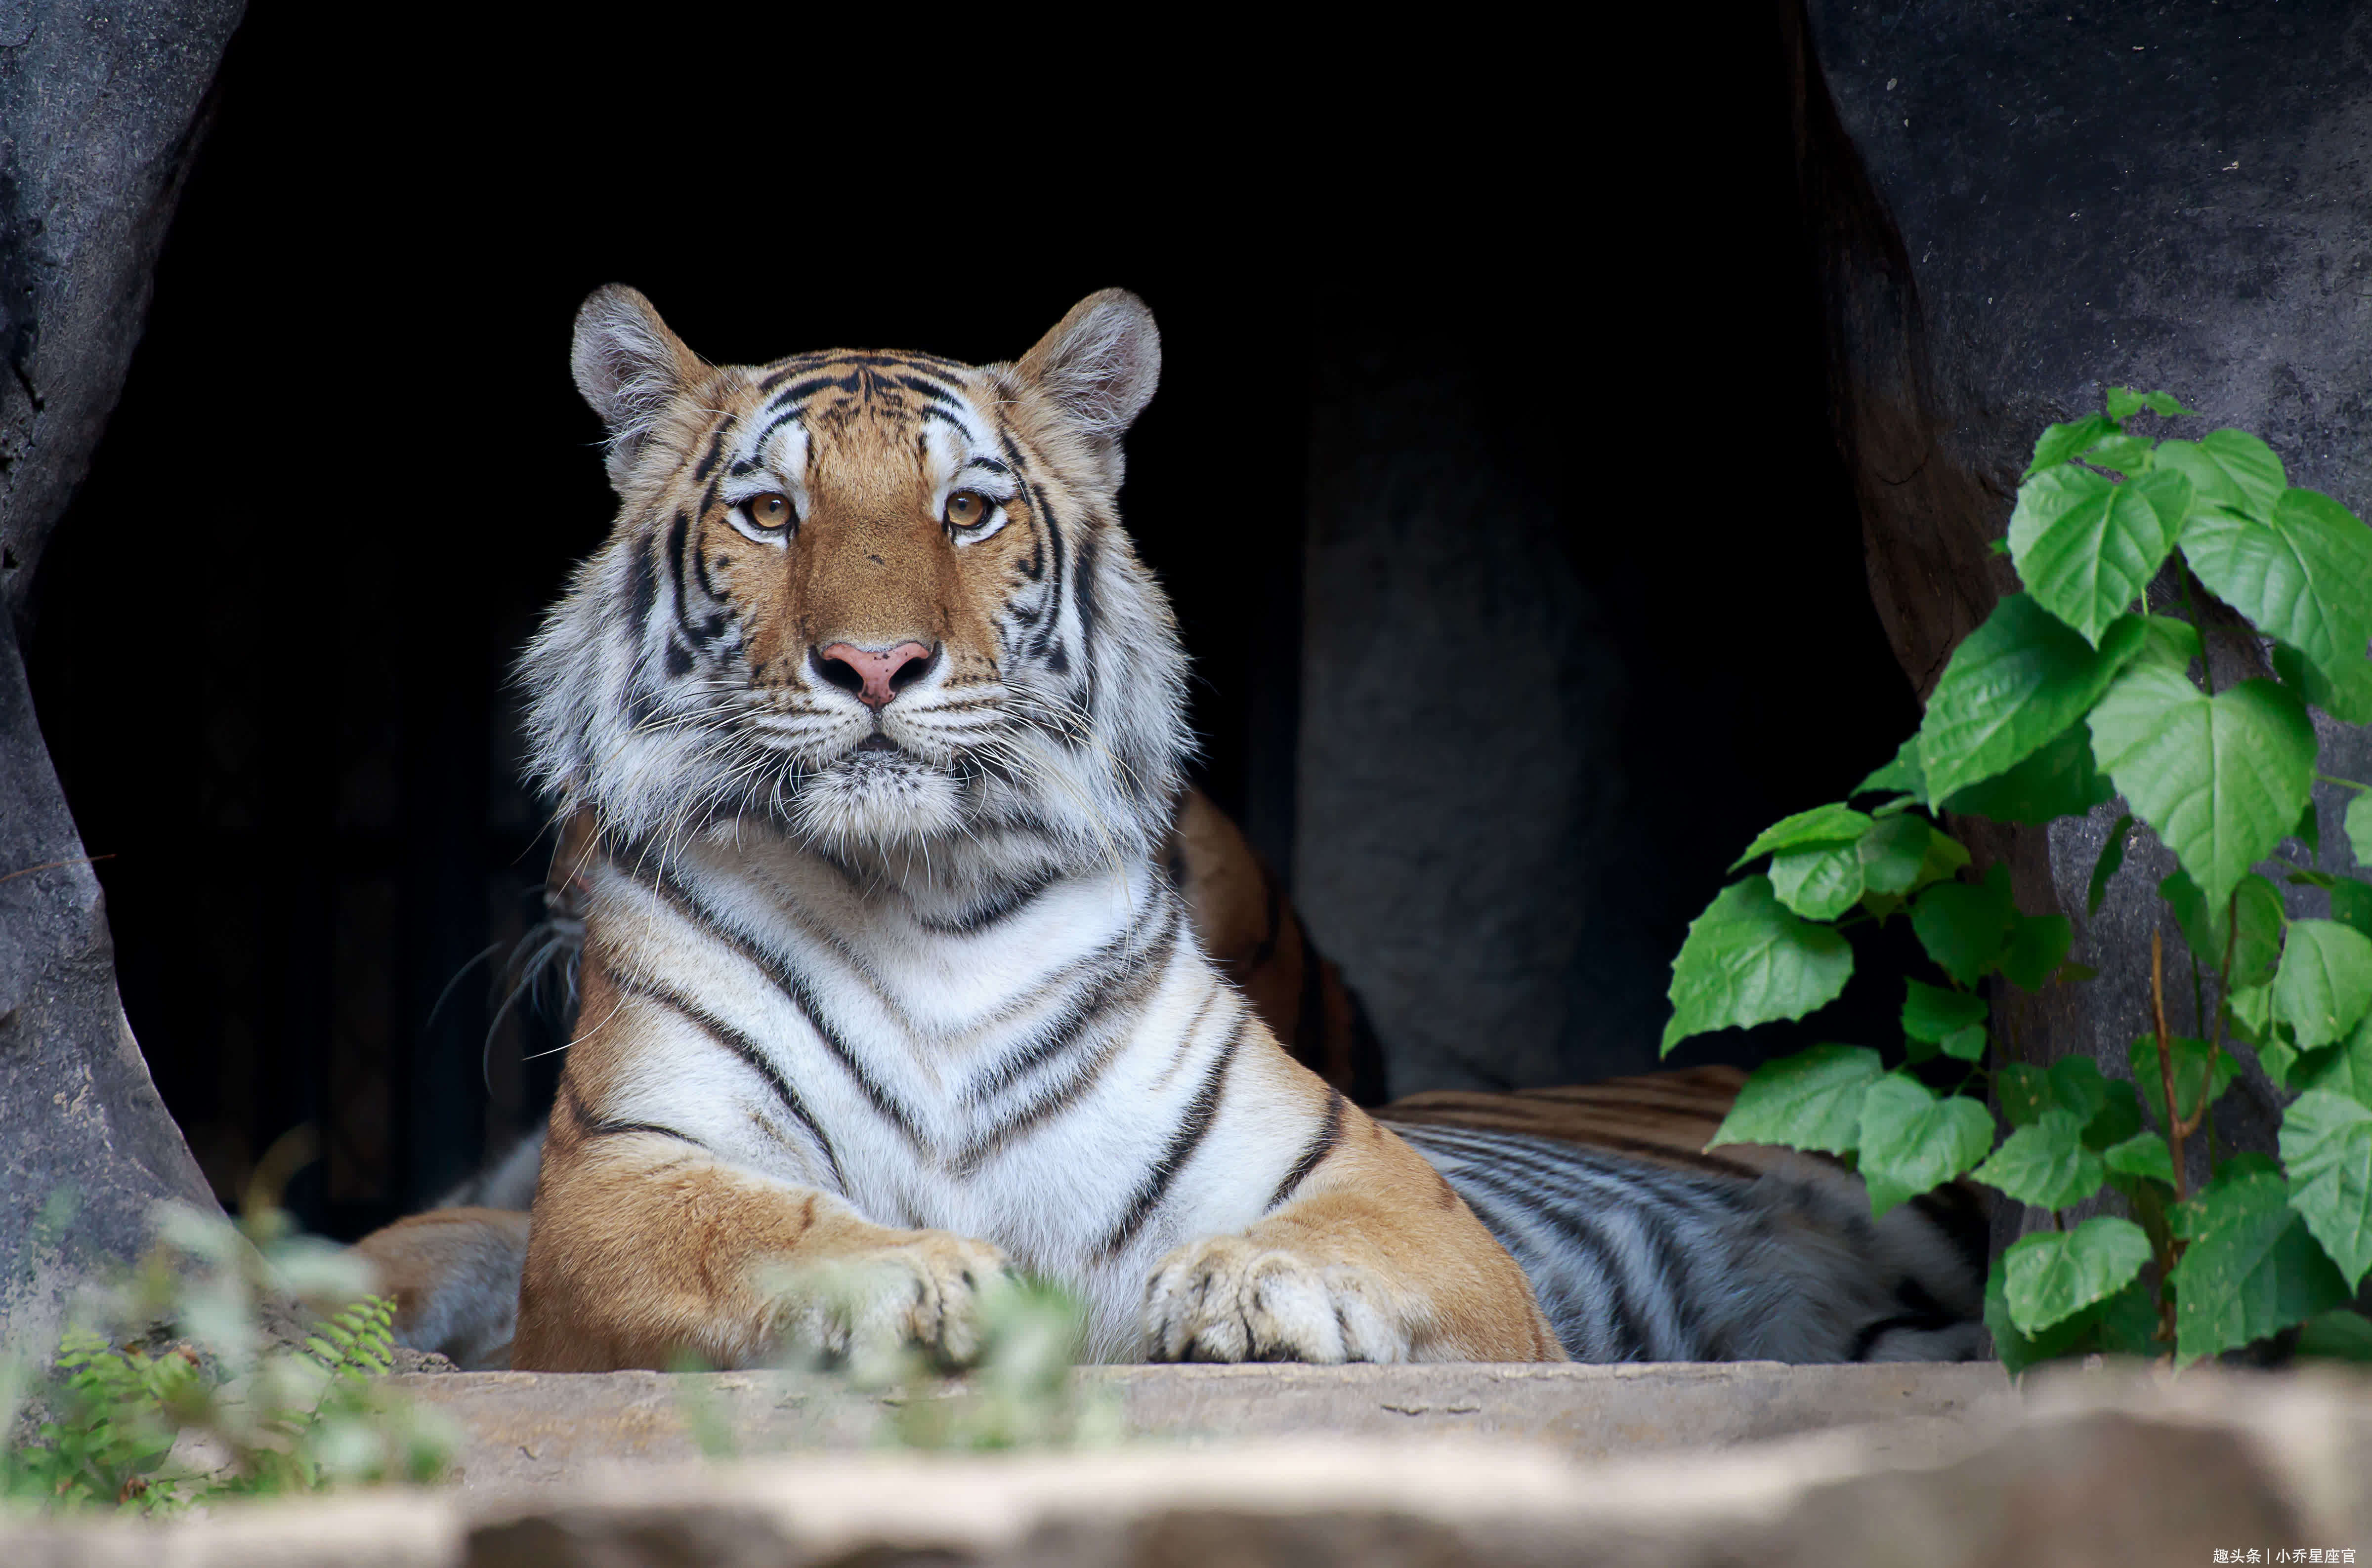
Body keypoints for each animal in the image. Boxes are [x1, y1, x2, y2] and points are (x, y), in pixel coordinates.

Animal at [498, 290, 1566, 1366]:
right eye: (769, 513)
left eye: (968, 511)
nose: (875, 663)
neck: (918, 893)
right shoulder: (615, 1171)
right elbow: (755, 1229)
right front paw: (924, 1273)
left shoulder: (1379, 1178)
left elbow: (1359, 1230)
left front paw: (1251, 1278)